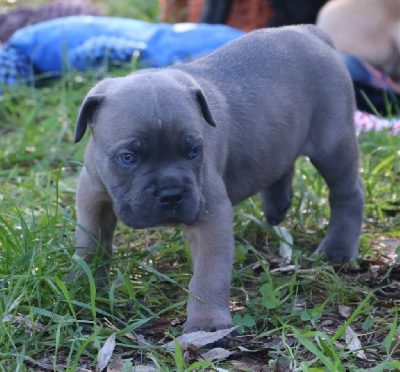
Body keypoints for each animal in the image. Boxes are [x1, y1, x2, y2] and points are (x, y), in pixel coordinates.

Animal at [73, 24, 364, 332]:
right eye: (128, 157)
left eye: (194, 152)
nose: (171, 194)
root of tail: (309, 31)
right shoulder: (93, 196)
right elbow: (90, 243)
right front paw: (83, 284)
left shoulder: (209, 213)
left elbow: (209, 272)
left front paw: (207, 322)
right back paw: (277, 206)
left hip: (334, 146)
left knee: (348, 193)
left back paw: (337, 249)